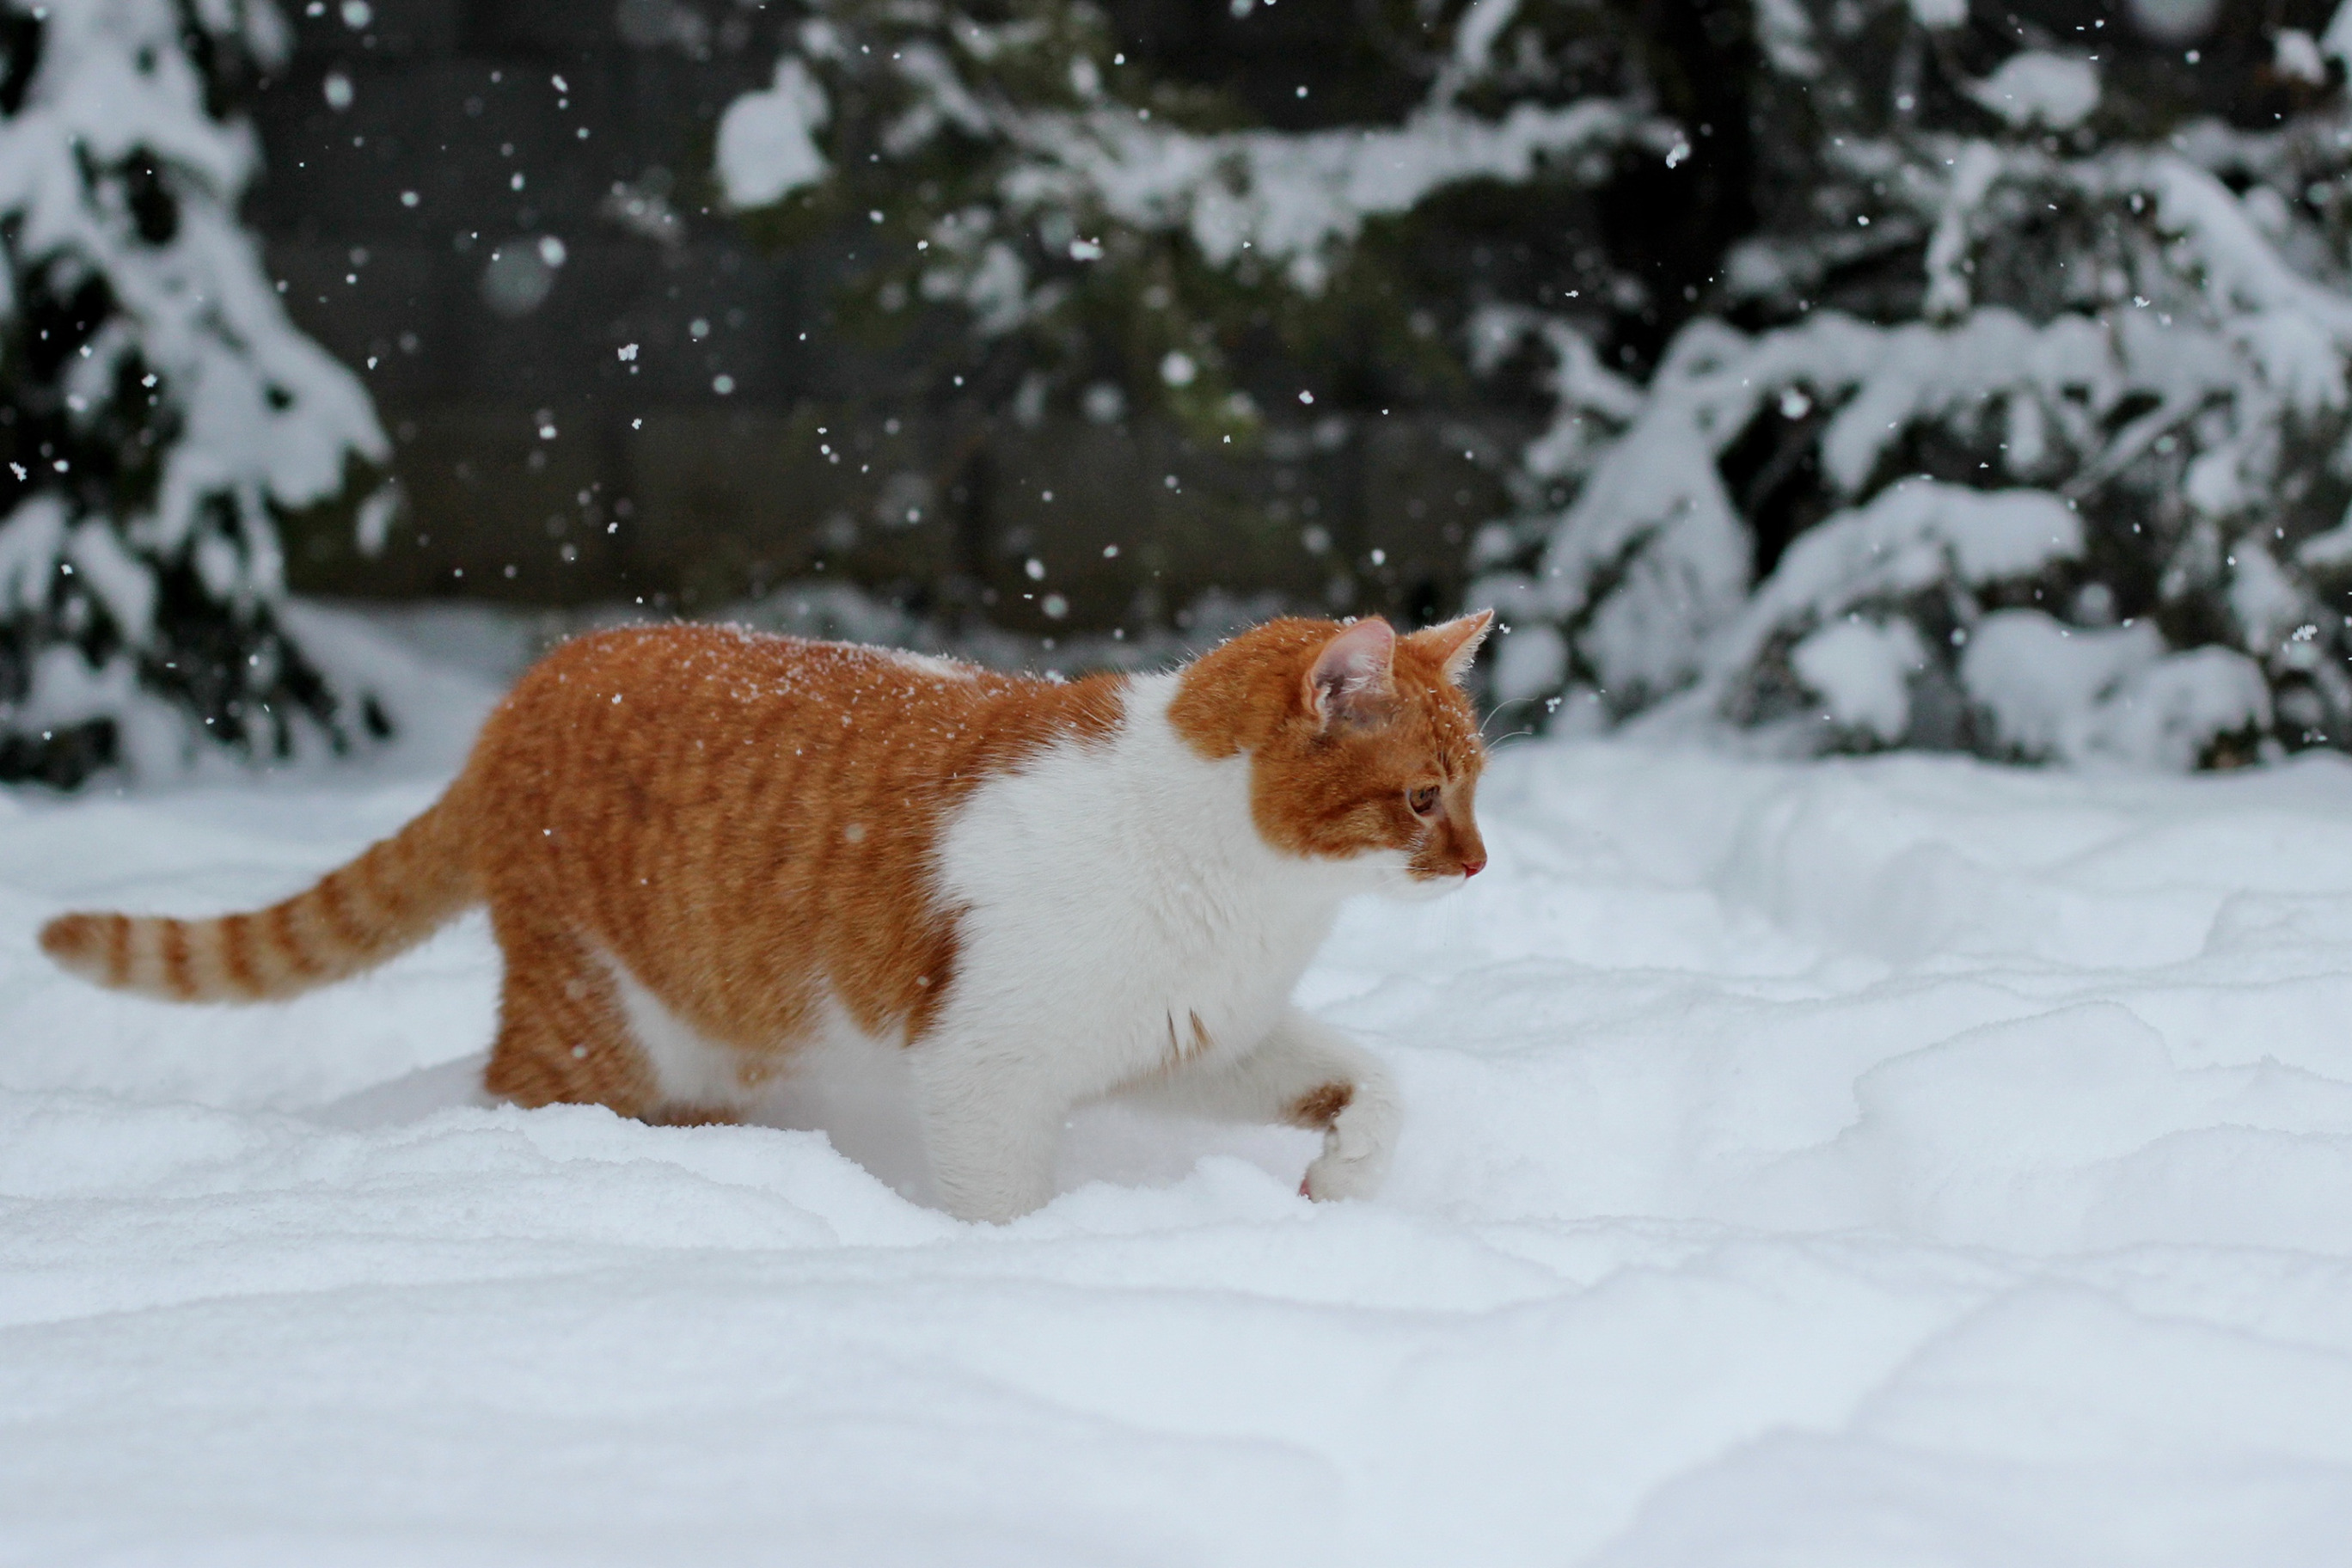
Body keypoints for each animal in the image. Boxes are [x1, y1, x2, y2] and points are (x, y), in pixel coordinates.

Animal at [41, 606, 1486, 1222]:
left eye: (1475, 786)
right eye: (1423, 797)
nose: (1477, 865)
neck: (1250, 893)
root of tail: (525, 692)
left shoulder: (1199, 1039)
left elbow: (1373, 1084)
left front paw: (1342, 1185)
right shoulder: (989, 1070)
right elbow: (1001, 1206)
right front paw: (1024, 1274)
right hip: (600, 1025)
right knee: (516, 1092)